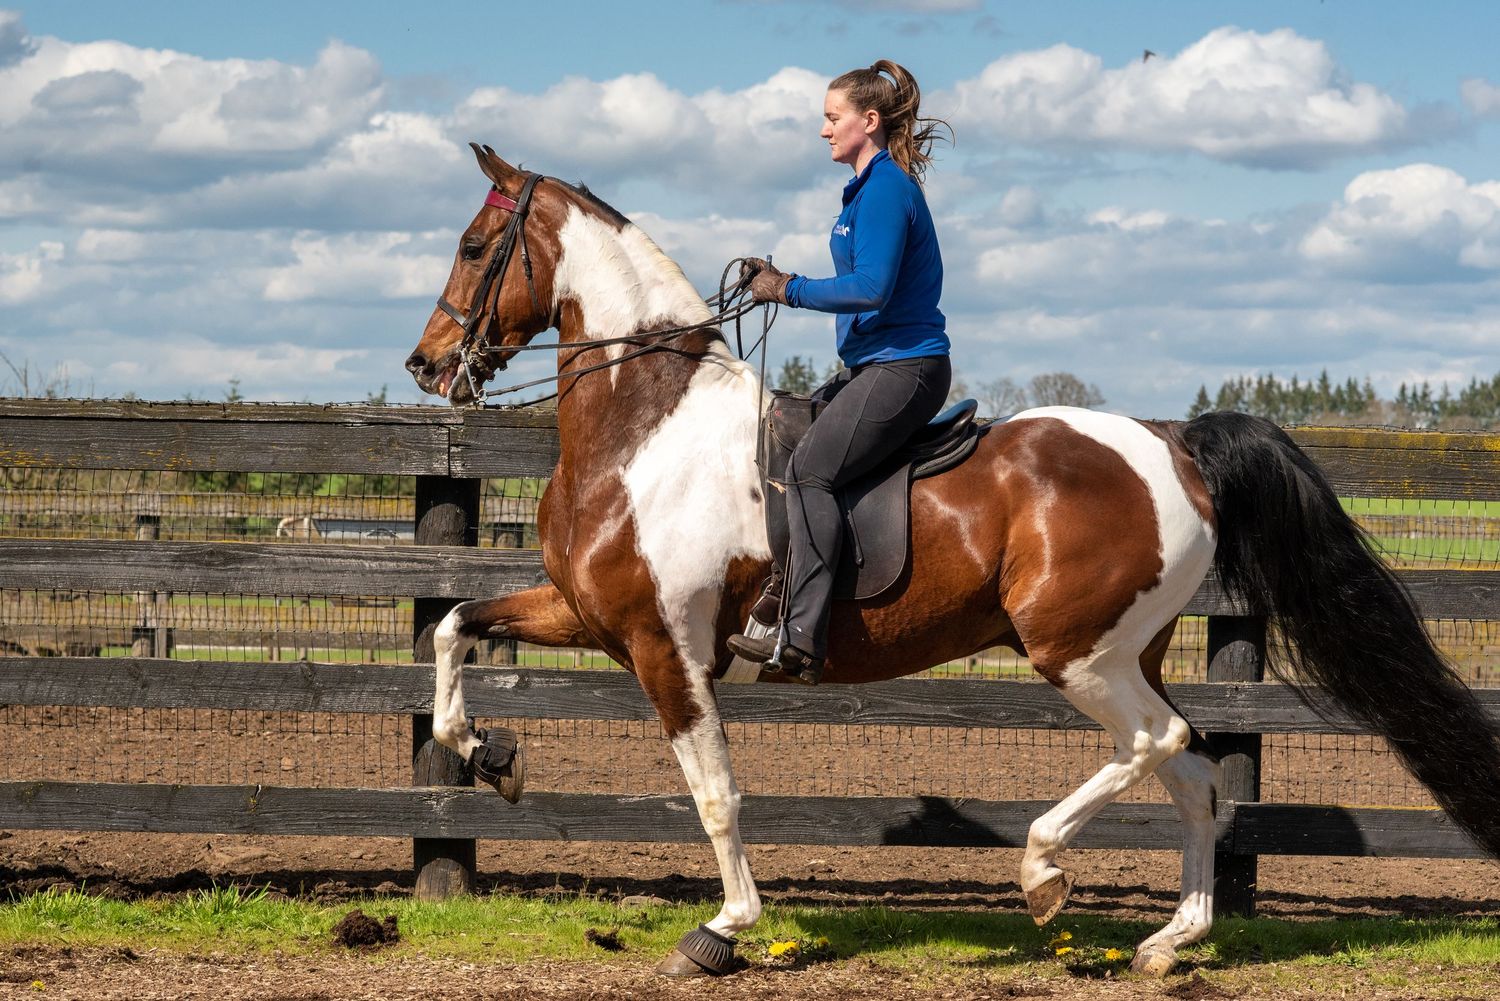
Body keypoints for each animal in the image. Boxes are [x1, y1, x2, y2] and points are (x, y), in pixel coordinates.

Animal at [403, 143, 1500, 978]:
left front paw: (723, 930)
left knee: (1161, 743)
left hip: (1078, 653)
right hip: (1125, 652)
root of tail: (1175, 441)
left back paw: (1045, 871)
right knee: (1193, 775)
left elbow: (715, 793)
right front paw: (486, 753)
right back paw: (1166, 942)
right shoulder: (588, 612)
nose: (426, 364)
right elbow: (455, 625)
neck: (647, 426)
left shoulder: (666, 648)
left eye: (471, 245)